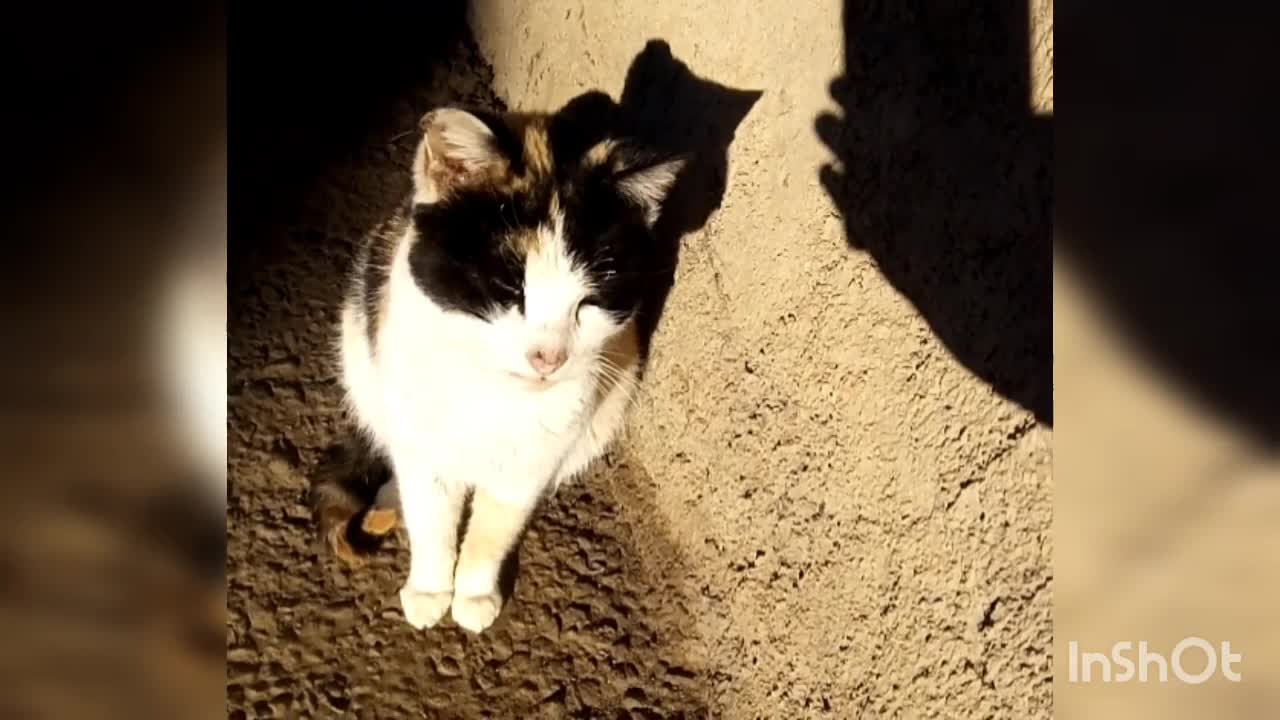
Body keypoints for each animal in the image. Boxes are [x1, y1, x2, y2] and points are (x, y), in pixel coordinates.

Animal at [313, 103, 686, 630]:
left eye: (589, 302)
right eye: (509, 290)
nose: (548, 357)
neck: (494, 397)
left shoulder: (535, 458)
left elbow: (496, 526)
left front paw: (473, 594)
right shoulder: (420, 435)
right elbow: (431, 515)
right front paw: (429, 587)